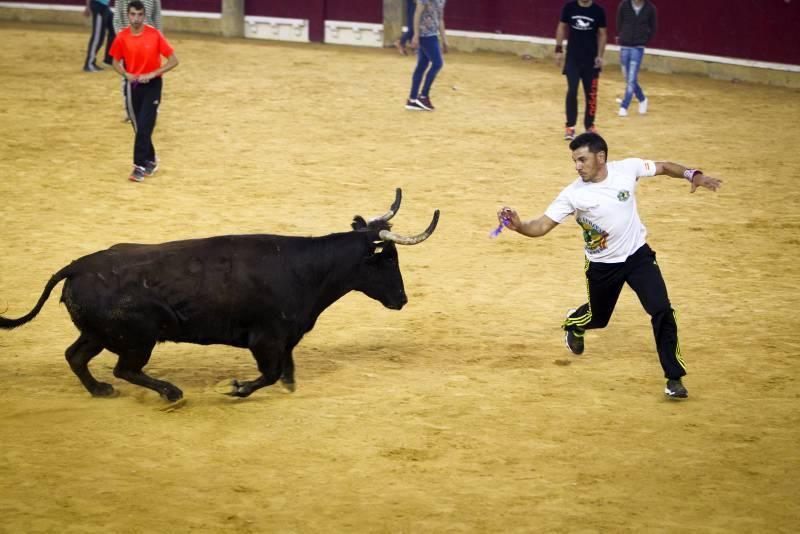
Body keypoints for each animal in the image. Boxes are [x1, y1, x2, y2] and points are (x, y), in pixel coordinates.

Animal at [1, 191, 438, 404]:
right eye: (389, 259)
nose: (402, 299)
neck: (305, 268)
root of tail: (75, 267)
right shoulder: (264, 339)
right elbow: (269, 372)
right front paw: (236, 388)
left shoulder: (284, 337)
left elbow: (285, 367)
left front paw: (290, 384)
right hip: (138, 338)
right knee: (125, 369)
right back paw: (172, 393)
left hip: (99, 333)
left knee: (76, 357)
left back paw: (99, 391)